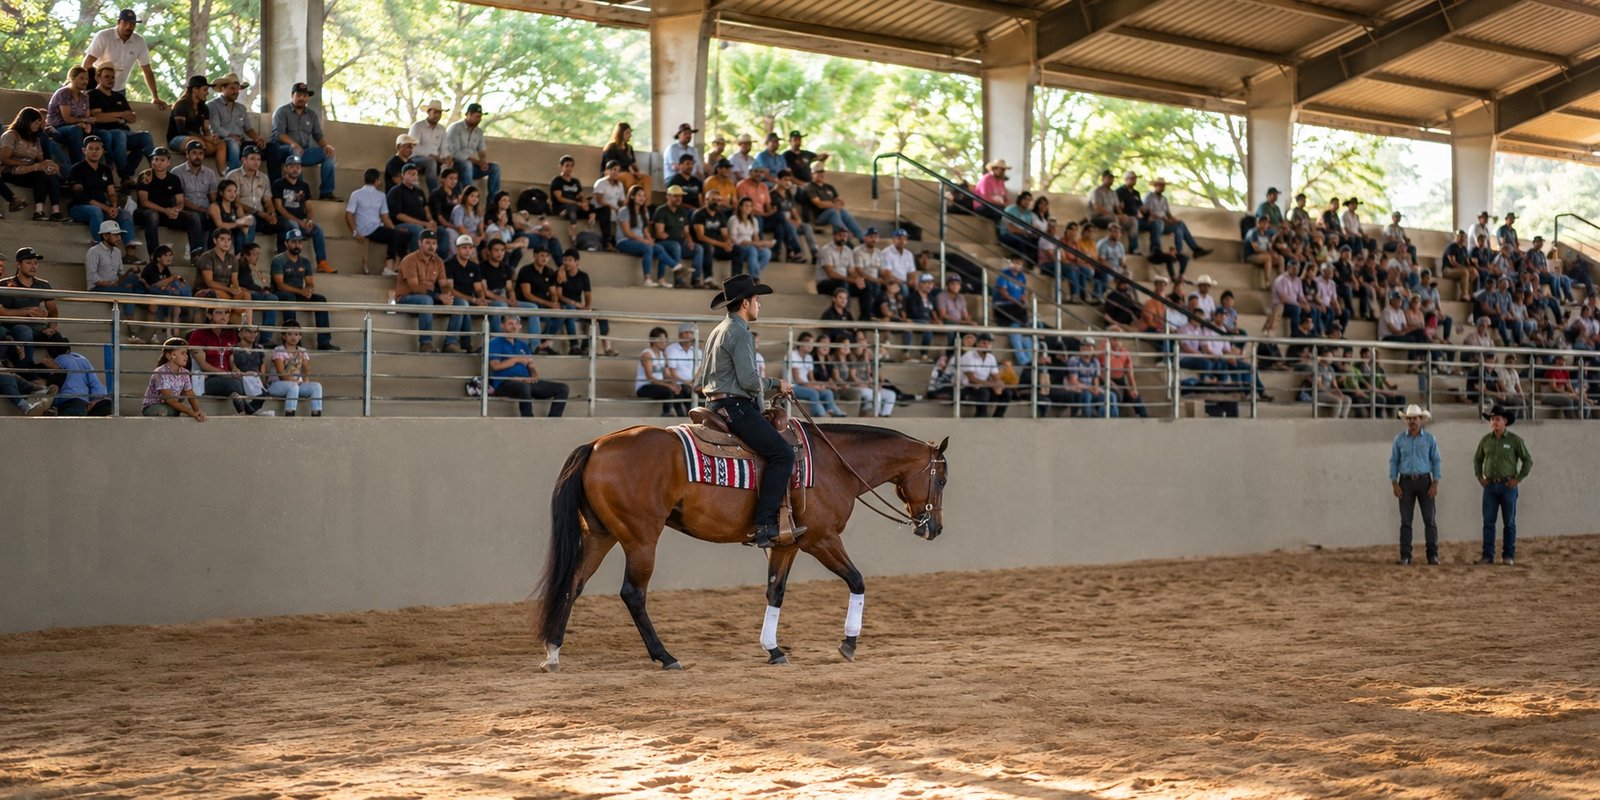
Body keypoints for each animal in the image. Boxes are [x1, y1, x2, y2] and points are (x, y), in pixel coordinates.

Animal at [533, 421, 949, 671]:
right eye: (942, 479)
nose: (934, 528)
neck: (835, 465)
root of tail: (596, 445)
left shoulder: (786, 544)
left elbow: (775, 592)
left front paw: (773, 648)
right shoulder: (822, 539)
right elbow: (857, 580)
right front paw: (848, 643)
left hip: (601, 535)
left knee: (572, 585)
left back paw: (553, 652)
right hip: (641, 538)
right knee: (633, 593)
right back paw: (665, 656)